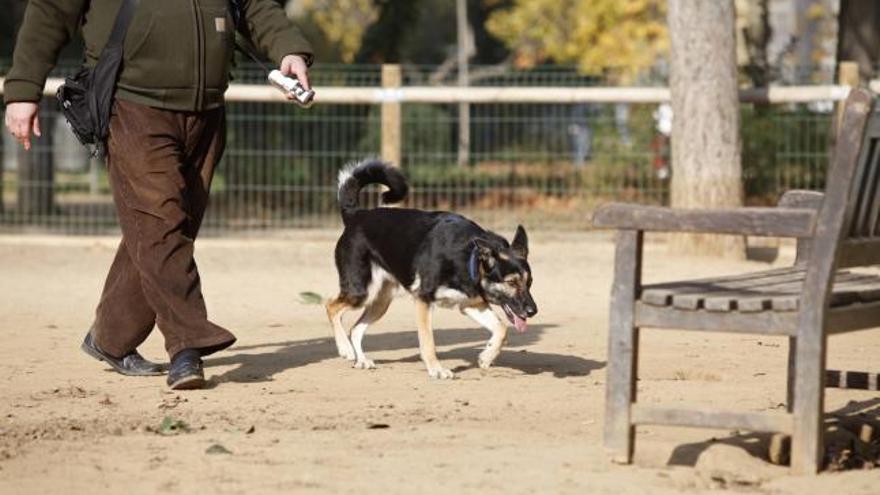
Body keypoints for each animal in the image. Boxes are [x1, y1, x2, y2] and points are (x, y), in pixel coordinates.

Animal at [326, 159, 540, 380]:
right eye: (512, 282)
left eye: (529, 282)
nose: (533, 311)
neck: (468, 258)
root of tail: (356, 215)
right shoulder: (423, 300)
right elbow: (428, 341)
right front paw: (436, 369)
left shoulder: (471, 305)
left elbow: (502, 329)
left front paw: (486, 357)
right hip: (360, 292)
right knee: (331, 307)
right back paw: (345, 349)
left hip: (380, 301)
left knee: (356, 328)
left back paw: (361, 360)